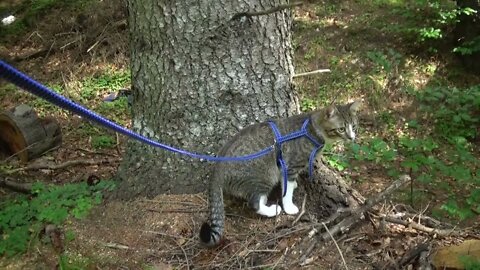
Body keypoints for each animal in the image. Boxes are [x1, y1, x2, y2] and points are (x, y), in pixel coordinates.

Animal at [199, 100, 360, 247]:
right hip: (263, 176)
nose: (351, 137)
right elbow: (287, 191)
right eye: (341, 129)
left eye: (354, 126)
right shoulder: (291, 165)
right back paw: (271, 209)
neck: (311, 128)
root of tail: (218, 167)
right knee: (254, 203)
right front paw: (289, 207)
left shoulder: (284, 167)